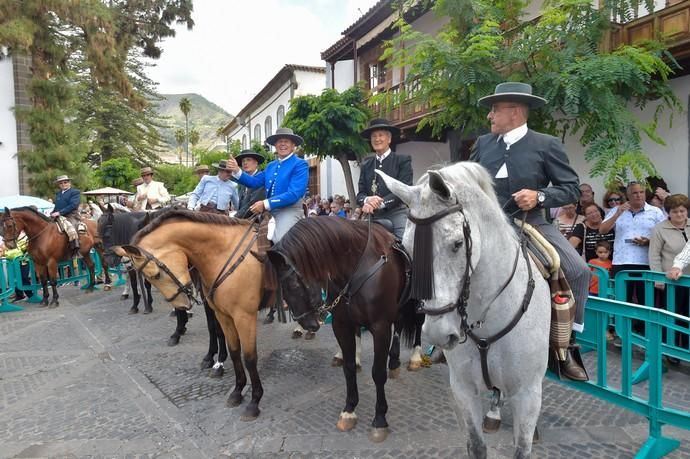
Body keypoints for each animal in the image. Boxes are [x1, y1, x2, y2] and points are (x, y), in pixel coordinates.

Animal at [97, 207, 228, 376]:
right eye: (98, 236)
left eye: (107, 234)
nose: (109, 261)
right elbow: (207, 322)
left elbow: (217, 326)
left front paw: (219, 360)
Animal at [114, 210, 268, 422]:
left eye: (155, 275)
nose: (180, 305)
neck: (226, 254)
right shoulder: (222, 312)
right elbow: (232, 348)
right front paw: (235, 389)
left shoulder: (244, 316)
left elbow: (250, 357)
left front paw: (254, 401)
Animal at [266, 217, 416, 444]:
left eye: (293, 284)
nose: (307, 323)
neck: (356, 268)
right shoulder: (342, 325)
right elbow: (349, 367)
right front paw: (349, 410)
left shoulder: (380, 327)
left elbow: (378, 372)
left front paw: (380, 418)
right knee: (398, 325)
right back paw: (395, 361)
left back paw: (415, 357)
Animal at [376, 163, 548, 459]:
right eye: (408, 248)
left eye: (457, 243)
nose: (438, 334)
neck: (489, 319)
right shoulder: (463, 389)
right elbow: (476, 446)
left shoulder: (527, 394)